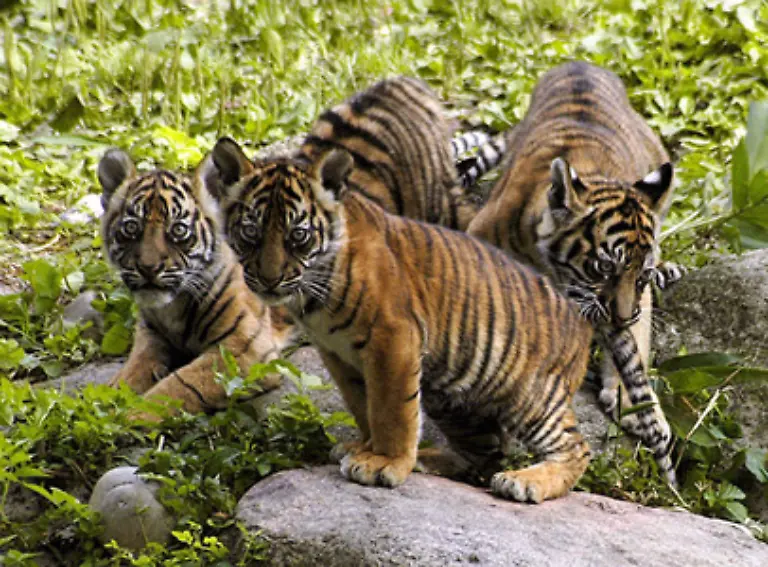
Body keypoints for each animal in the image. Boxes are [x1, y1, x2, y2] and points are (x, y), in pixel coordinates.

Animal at [97, 148, 295, 418]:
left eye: (178, 230)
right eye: (131, 227)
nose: (149, 268)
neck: (171, 306)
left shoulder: (244, 349)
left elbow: (180, 384)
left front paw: (135, 414)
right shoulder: (150, 333)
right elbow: (135, 366)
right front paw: (109, 395)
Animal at [208, 143, 600, 502]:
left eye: (298, 235)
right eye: (251, 232)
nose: (269, 279)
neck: (312, 295)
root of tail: (580, 317)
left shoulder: (392, 337)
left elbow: (391, 408)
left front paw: (383, 462)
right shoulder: (338, 353)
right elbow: (362, 404)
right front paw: (363, 447)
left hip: (528, 393)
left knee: (575, 448)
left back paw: (524, 482)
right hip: (457, 400)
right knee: (485, 453)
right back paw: (431, 459)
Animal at [466, 61, 679, 483]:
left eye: (641, 275)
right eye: (603, 267)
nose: (620, 316)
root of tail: (582, 63)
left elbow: (637, 340)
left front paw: (630, 399)